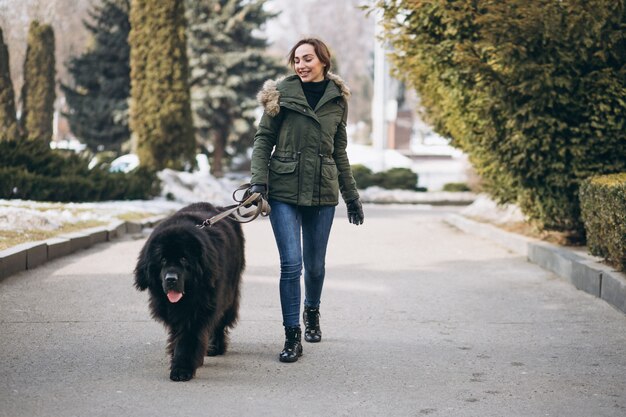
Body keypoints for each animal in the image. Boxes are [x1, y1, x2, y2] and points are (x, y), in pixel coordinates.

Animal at [133, 202, 243, 380]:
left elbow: (188, 337)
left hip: (229, 292)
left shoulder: (199, 309)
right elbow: (177, 333)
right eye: (163, 259)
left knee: (221, 319)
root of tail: (221, 207)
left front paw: (182, 368)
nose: (171, 279)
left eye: (184, 259)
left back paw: (215, 347)